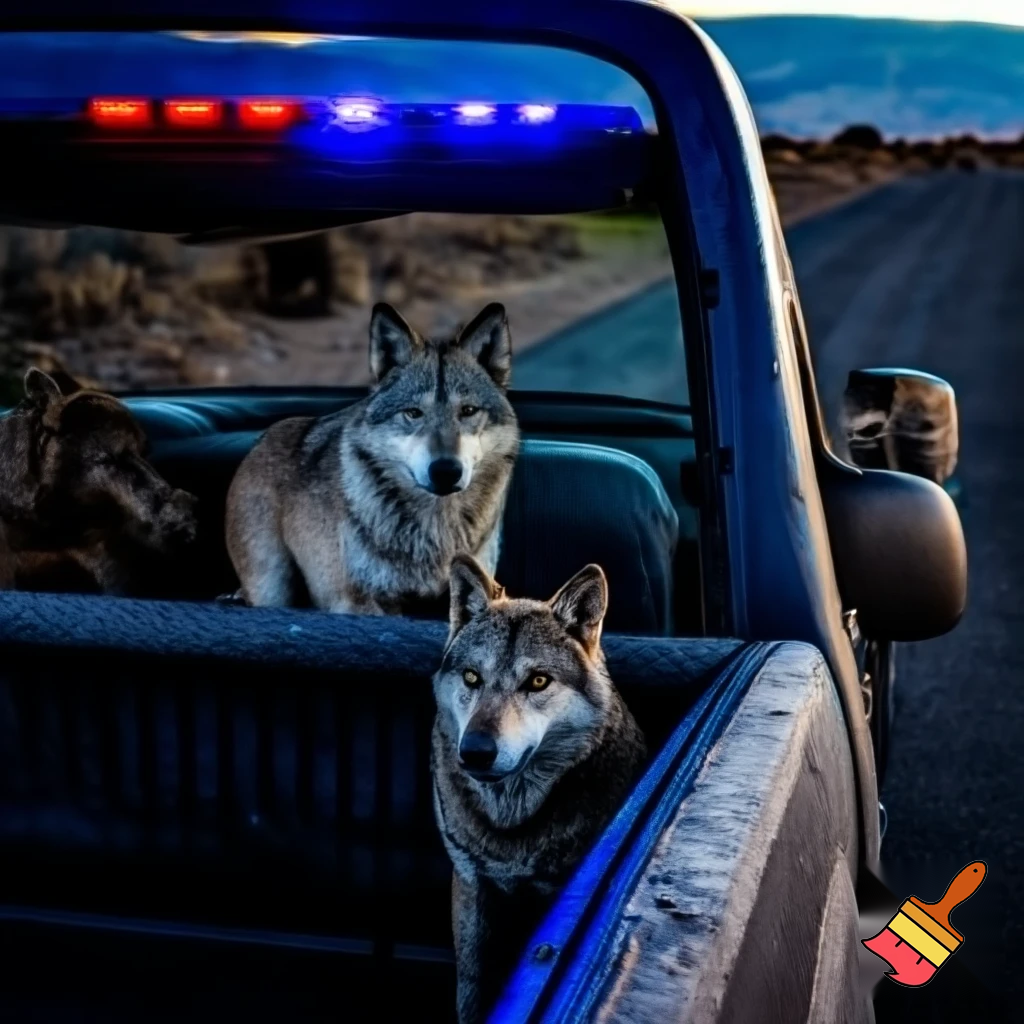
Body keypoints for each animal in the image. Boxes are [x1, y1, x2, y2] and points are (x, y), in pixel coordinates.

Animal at [225, 302, 519, 615]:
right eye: (413, 413)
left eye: (468, 411)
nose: (445, 471)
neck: (435, 528)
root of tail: (262, 439)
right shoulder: (357, 602)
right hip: (271, 587)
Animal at [431, 555, 647, 1024]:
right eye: (472, 678)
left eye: (538, 682)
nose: (475, 752)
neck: (511, 825)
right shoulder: (471, 882)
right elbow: (471, 984)